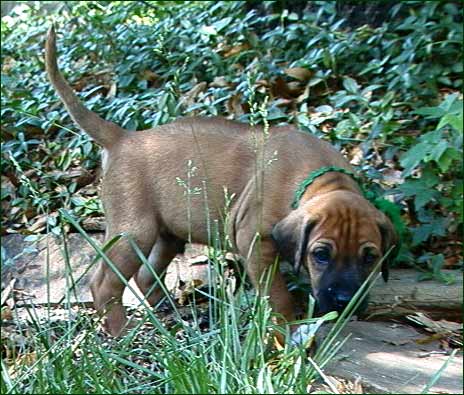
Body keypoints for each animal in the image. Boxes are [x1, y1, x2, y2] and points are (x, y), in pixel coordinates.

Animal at [46, 27, 396, 338]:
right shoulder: (254, 240)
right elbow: (278, 295)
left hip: (168, 232)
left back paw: (171, 315)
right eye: (321, 254)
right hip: (134, 231)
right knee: (104, 283)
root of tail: (123, 138)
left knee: (146, 275)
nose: (345, 302)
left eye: (370, 257)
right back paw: (122, 333)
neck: (319, 178)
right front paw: (286, 331)